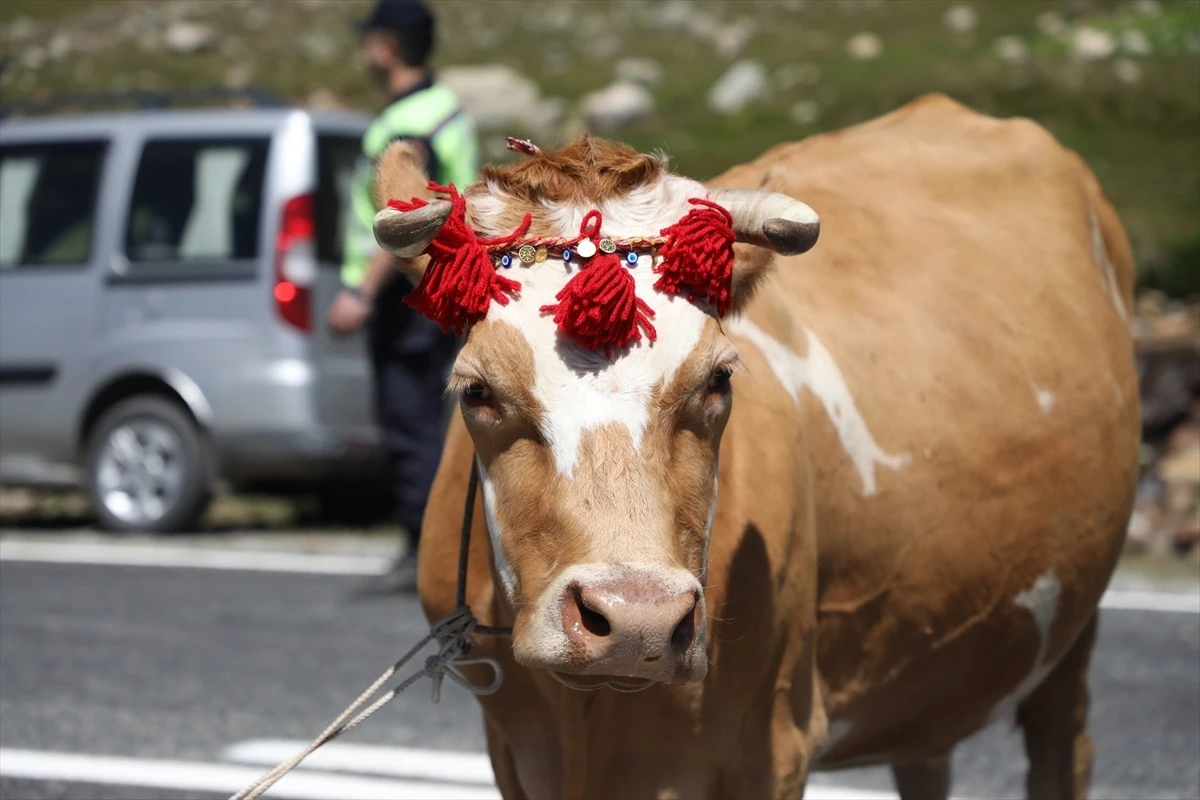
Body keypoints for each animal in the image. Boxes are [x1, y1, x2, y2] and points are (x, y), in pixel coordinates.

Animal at [369, 95, 1137, 800]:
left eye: (719, 379)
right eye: (476, 390)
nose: (636, 620)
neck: (589, 719)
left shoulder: (773, 745)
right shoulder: (513, 751)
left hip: (1074, 631)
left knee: (1064, 743)